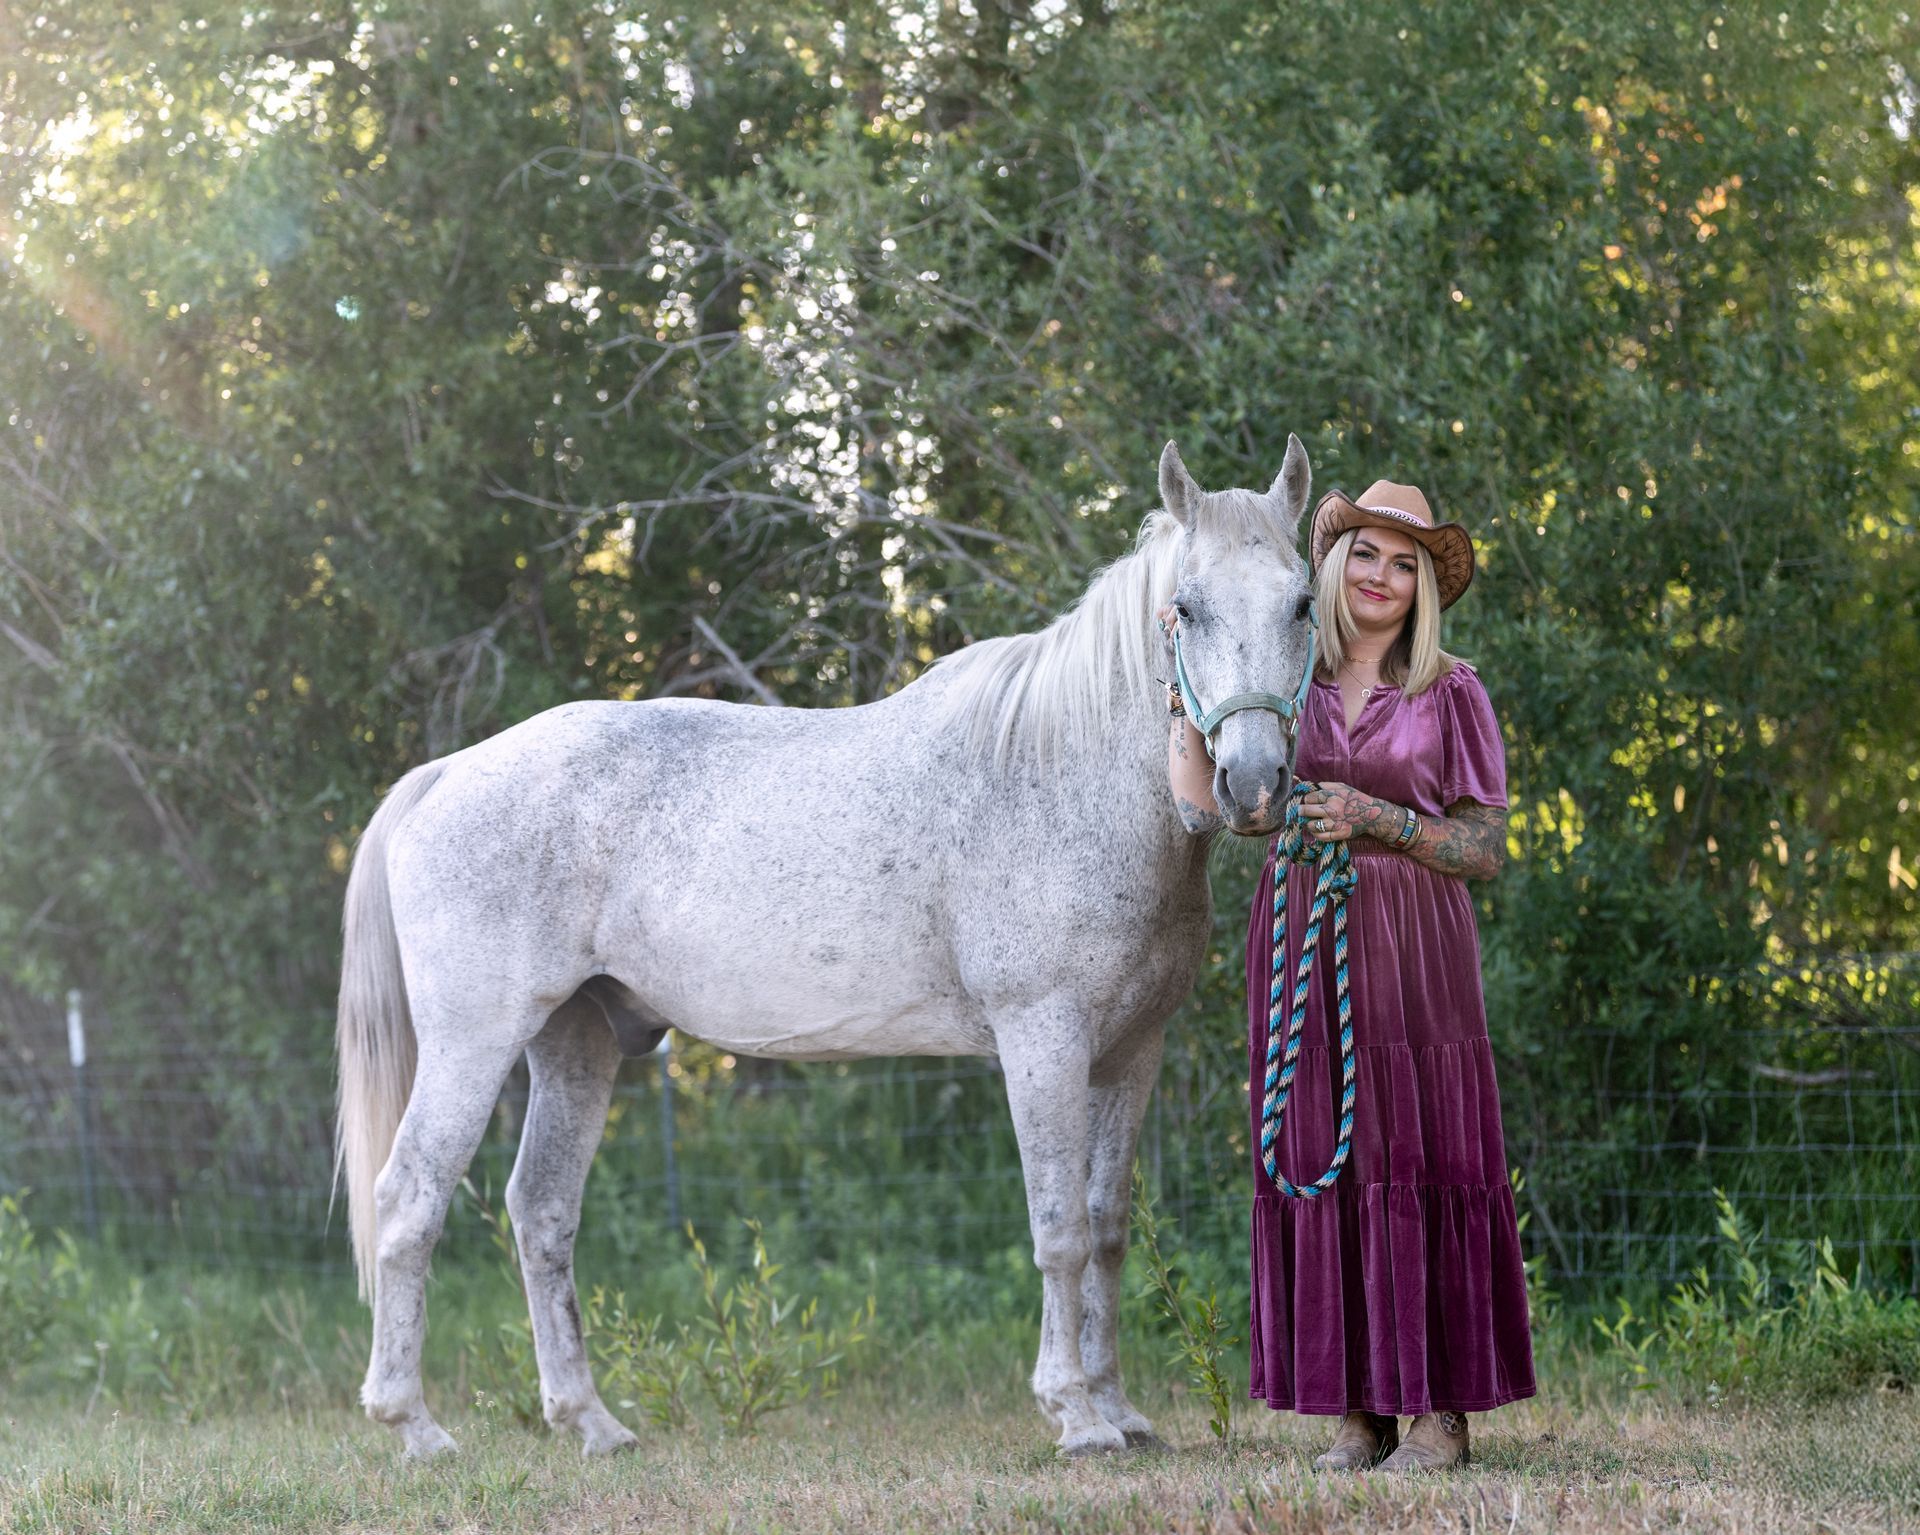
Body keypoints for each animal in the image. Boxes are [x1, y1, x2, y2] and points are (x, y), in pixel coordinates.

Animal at [335, 435, 1320, 1459]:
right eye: (1187, 608)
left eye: (1300, 602)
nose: (1253, 783)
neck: (1059, 773)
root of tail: (447, 773)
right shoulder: (1042, 1039)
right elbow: (1060, 1231)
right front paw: (1077, 1415)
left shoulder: (1130, 1052)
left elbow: (1109, 1225)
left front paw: (1120, 1409)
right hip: (474, 1039)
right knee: (410, 1199)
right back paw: (414, 1426)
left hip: (575, 1041)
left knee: (542, 1213)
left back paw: (591, 1422)